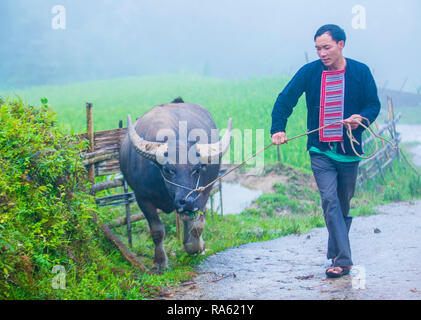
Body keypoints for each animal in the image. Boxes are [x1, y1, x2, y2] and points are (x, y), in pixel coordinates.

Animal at [118, 97, 231, 270]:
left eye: (197, 169)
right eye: (167, 170)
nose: (187, 202)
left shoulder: (203, 193)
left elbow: (196, 226)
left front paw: (196, 247)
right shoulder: (141, 198)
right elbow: (157, 230)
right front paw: (159, 263)